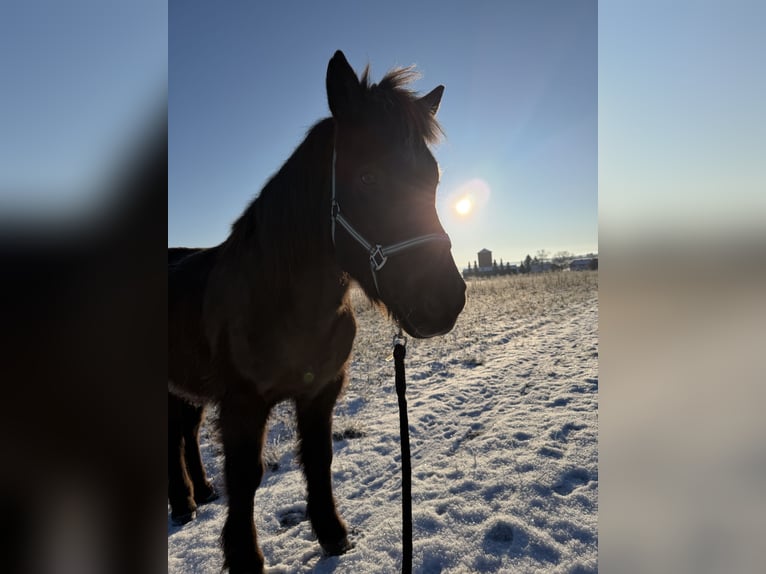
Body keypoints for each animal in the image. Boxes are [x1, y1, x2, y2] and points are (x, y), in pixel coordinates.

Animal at [168, 50, 466, 573]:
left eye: (432, 178)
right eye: (367, 176)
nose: (446, 300)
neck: (286, 306)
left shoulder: (321, 392)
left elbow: (319, 457)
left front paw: (332, 535)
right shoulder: (243, 404)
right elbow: (245, 477)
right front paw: (244, 558)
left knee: (187, 433)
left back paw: (201, 493)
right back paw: (183, 503)